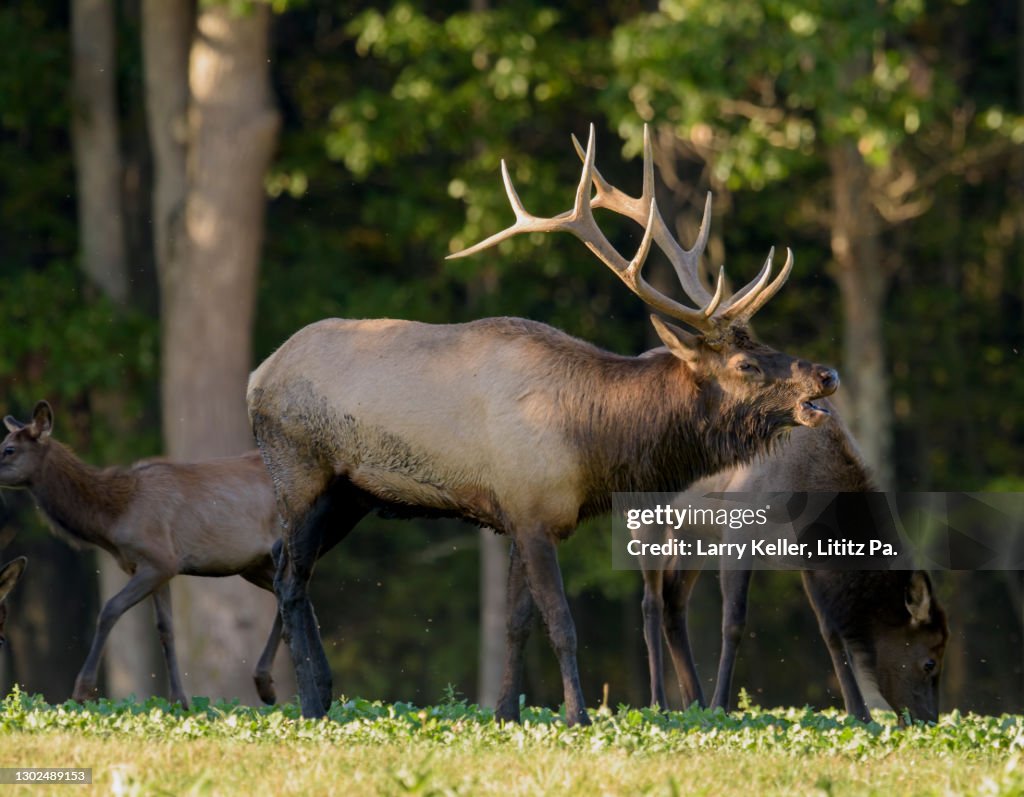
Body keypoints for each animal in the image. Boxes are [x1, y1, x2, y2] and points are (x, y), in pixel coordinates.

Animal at [0, 401, 285, 708]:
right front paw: (179, 701)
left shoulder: (160, 559)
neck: (112, 518)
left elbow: (109, 609)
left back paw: (268, 684)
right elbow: (165, 628)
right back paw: (266, 685)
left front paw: (82, 691)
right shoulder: (156, 569)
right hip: (254, 565)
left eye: (9, 449)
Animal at [247, 124, 840, 726]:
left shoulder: (515, 514)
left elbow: (515, 624)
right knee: (290, 579)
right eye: (745, 364)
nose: (826, 374)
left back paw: (317, 691)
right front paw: (577, 714)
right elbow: (561, 623)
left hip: (350, 496)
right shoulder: (533, 510)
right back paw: (311, 701)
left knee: (290, 568)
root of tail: (257, 375)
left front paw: (506, 711)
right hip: (299, 471)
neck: (593, 445)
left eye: (763, 344)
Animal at [638, 408, 949, 722]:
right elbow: (733, 622)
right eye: (930, 663)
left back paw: (694, 702)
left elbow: (831, 632)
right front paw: (720, 707)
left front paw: (860, 713)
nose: (929, 719)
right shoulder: (737, 529)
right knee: (652, 600)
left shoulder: (809, 561)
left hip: (692, 532)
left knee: (674, 601)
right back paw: (659, 704)